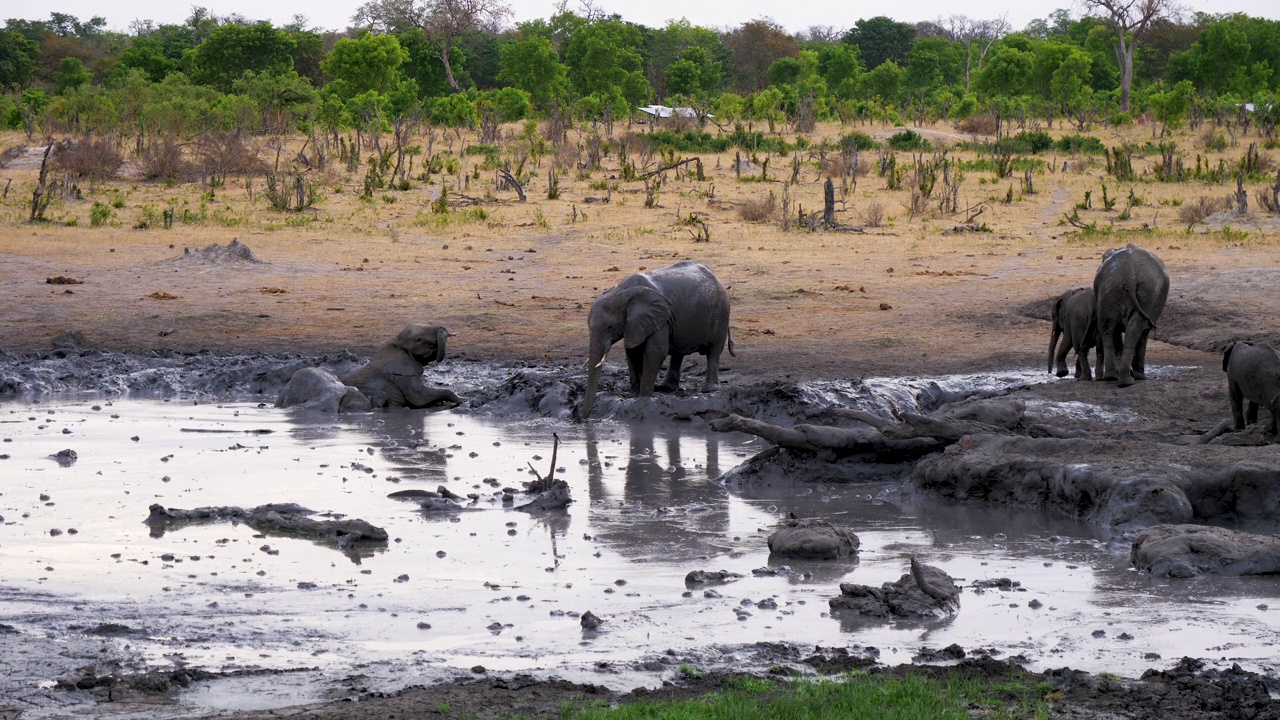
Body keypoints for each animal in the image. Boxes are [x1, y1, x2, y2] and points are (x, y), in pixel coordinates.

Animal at [581, 258, 732, 417]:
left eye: (610, 327)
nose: (583, 417)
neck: (622, 292)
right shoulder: (636, 324)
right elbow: (632, 353)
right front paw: (634, 396)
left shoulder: (660, 320)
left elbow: (655, 352)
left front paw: (643, 398)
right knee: (678, 353)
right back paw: (667, 388)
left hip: (722, 312)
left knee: (714, 352)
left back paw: (710, 390)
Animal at [1090, 242, 1172, 386]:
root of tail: (1129, 270)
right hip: (1148, 292)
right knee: (1138, 329)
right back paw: (1131, 379)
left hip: (1110, 289)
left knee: (1108, 328)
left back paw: (1113, 377)